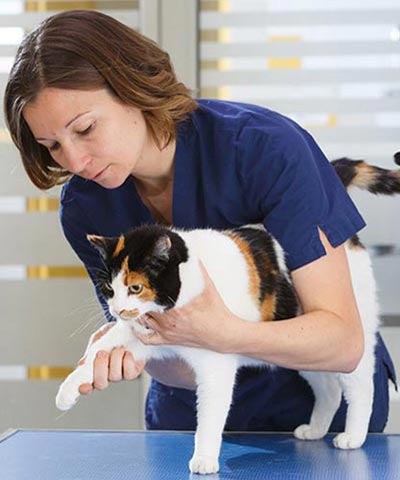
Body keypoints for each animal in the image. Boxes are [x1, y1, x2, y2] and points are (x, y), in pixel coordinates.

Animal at [56, 157, 400, 472]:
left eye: (136, 287)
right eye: (108, 288)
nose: (115, 309)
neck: (192, 277)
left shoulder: (215, 365)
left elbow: (210, 415)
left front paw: (205, 458)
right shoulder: (144, 335)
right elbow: (100, 349)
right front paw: (69, 389)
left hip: (349, 339)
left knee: (360, 385)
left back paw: (353, 435)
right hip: (304, 351)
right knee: (328, 388)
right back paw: (315, 429)